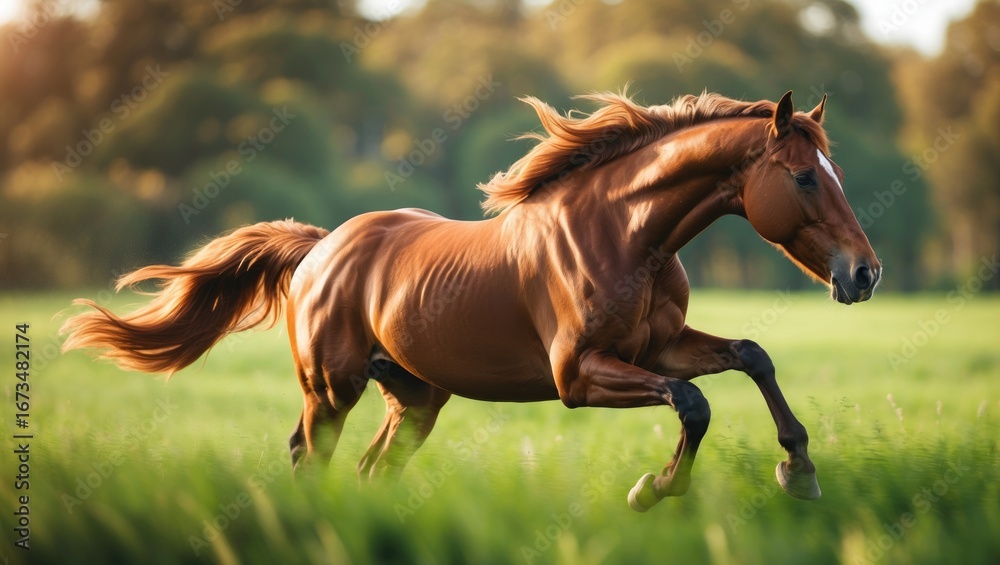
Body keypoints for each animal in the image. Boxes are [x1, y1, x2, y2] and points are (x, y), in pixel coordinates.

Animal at [62, 90, 881, 512]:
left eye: (834, 170)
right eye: (804, 176)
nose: (865, 275)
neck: (625, 235)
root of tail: (321, 247)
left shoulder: (658, 347)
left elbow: (751, 356)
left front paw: (799, 470)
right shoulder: (579, 375)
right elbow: (693, 402)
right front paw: (652, 489)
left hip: (417, 397)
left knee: (370, 469)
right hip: (332, 387)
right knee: (308, 456)